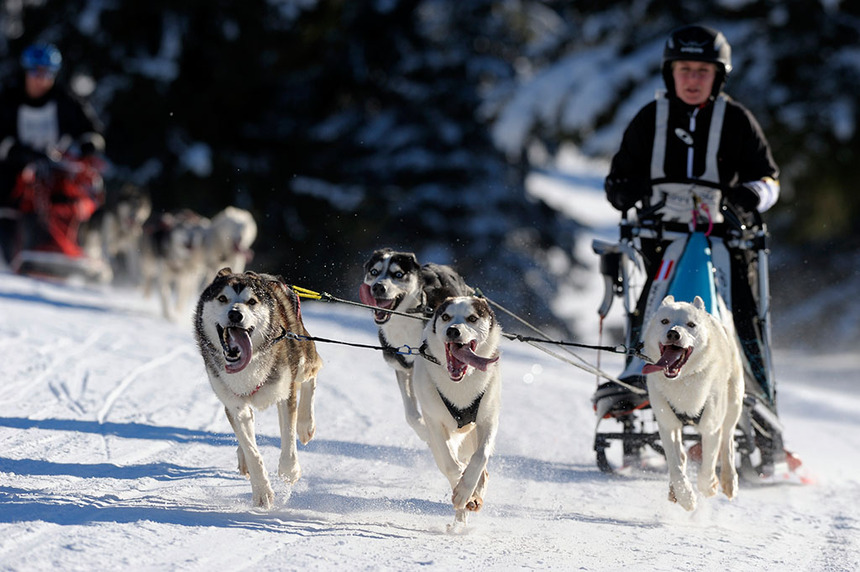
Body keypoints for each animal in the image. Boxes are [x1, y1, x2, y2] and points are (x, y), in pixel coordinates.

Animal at [192, 268, 322, 510]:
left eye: (251, 301)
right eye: (222, 298)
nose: (235, 314)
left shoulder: (286, 393)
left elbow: (288, 436)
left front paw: (290, 470)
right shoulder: (235, 406)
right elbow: (252, 450)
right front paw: (262, 492)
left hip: (302, 359)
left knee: (312, 376)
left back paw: (305, 424)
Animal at [360, 248, 474, 440]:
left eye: (398, 274)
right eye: (374, 272)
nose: (378, 287)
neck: (406, 319)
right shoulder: (403, 369)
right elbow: (411, 415)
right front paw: (426, 433)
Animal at [414, 298, 500, 528]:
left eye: (472, 318)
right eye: (446, 317)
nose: (453, 330)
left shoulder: (488, 419)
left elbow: (480, 457)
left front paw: (466, 489)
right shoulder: (435, 422)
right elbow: (451, 465)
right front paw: (461, 491)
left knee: (483, 472)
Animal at [640, 294, 744, 510]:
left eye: (690, 324)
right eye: (665, 321)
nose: (673, 333)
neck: (683, 381)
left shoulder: (711, 427)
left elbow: (708, 466)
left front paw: (709, 486)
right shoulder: (667, 424)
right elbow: (675, 464)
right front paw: (685, 496)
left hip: (733, 404)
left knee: (728, 442)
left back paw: (729, 480)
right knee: (681, 455)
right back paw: (674, 491)